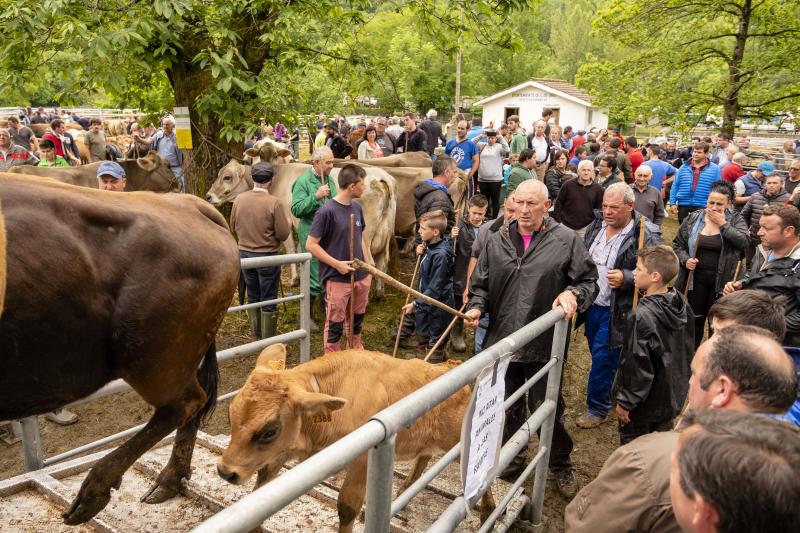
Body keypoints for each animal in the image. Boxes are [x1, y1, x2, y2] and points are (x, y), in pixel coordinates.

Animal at [0, 172, 239, 520]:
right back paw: (167, 482)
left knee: (185, 403)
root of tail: (189, 204)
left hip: (152, 361)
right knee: (193, 404)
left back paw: (91, 495)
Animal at [219, 344, 482, 532]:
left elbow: (346, 508)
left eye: (270, 431)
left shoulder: (362, 460)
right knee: (423, 458)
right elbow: (260, 488)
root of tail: (450, 365)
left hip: (458, 435)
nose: (225, 471)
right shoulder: (283, 451)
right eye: (230, 415)